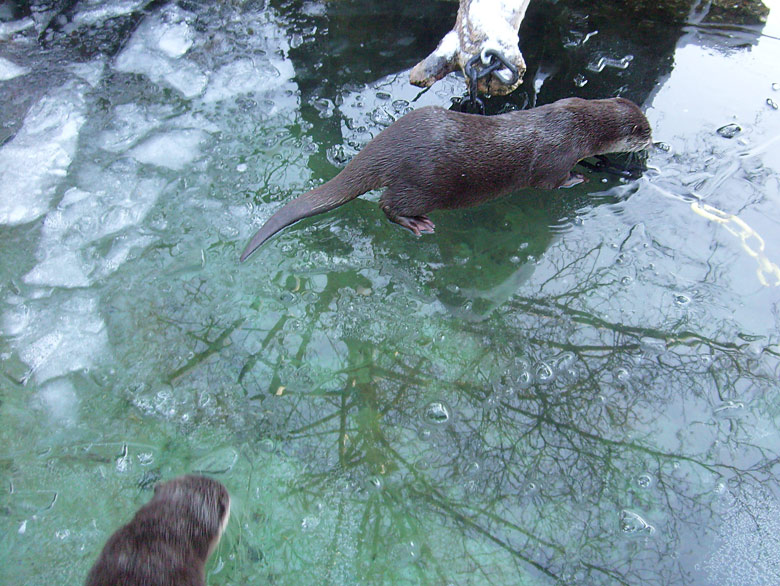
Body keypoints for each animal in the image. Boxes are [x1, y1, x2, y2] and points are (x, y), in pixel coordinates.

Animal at [239, 96, 652, 260]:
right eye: (645, 131)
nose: (653, 139)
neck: (576, 123)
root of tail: (390, 145)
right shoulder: (556, 158)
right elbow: (552, 181)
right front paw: (578, 179)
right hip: (425, 184)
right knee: (388, 205)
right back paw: (417, 225)